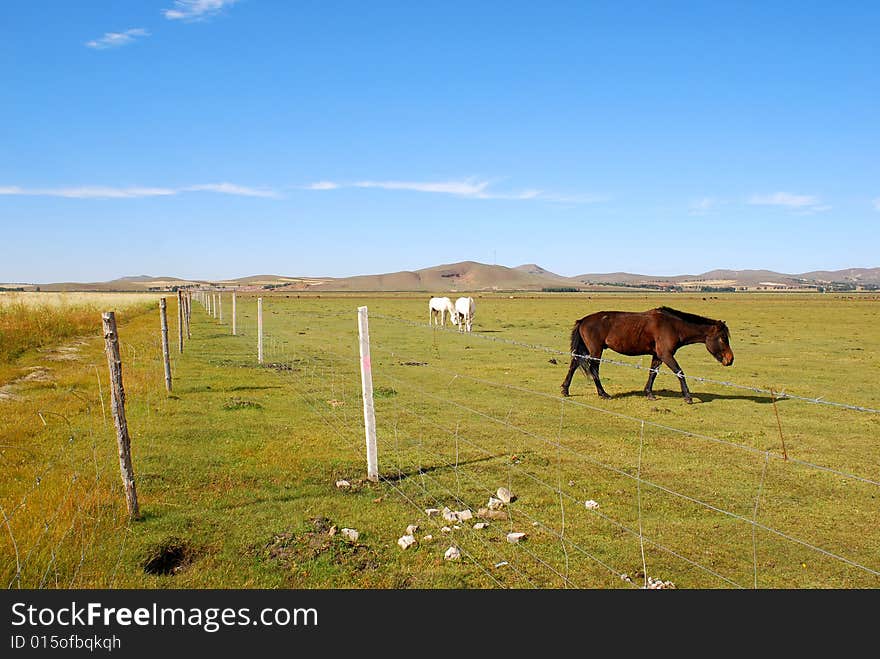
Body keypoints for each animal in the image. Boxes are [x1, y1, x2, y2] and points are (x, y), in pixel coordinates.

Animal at [560, 306, 732, 404]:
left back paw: (565, 390)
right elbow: (680, 372)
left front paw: (649, 393)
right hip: (596, 351)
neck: (674, 326)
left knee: (574, 365)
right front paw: (688, 397)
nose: (730, 359)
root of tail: (583, 320)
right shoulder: (666, 355)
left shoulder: (658, 356)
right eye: (723, 338)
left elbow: (653, 373)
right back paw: (603, 394)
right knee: (594, 369)